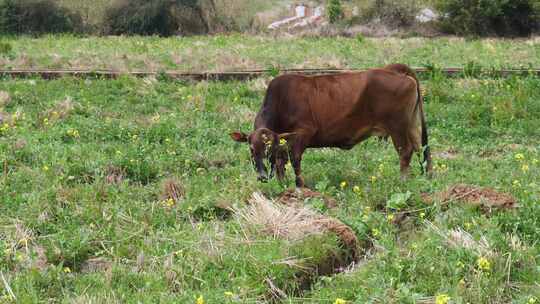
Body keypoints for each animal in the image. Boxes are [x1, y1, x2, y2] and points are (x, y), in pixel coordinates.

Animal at [230, 63, 432, 188]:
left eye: (268, 147)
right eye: (251, 148)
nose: (262, 176)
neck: (282, 101)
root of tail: (393, 69)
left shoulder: (302, 134)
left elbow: (294, 160)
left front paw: (300, 185)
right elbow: (281, 162)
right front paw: (282, 184)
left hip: (397, 127)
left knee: (405, 151)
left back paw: (403, 180)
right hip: (411, 126)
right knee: (421, 148)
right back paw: (424, 176)